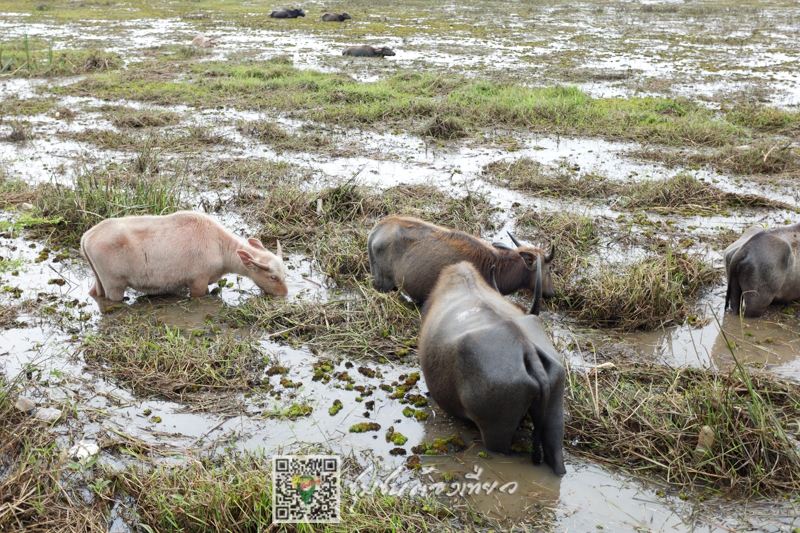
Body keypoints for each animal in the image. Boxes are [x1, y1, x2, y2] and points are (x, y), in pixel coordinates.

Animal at [80, 211, 288, 302]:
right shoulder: (197, 281)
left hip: (99, 280)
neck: (220, 247)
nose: (284, 294)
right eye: (273, 277)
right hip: (114, 284)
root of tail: (87, 236)